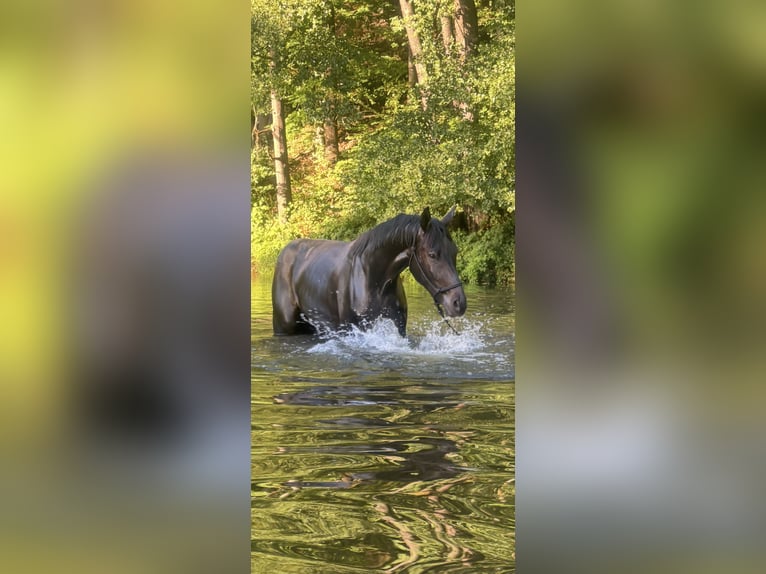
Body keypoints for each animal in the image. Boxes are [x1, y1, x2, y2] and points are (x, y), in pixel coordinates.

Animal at [272, 207, 466, 336]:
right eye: (432, 254)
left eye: (455, 251)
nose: (459, 303)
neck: (374, 280)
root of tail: (286, 250)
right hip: (284, 326)